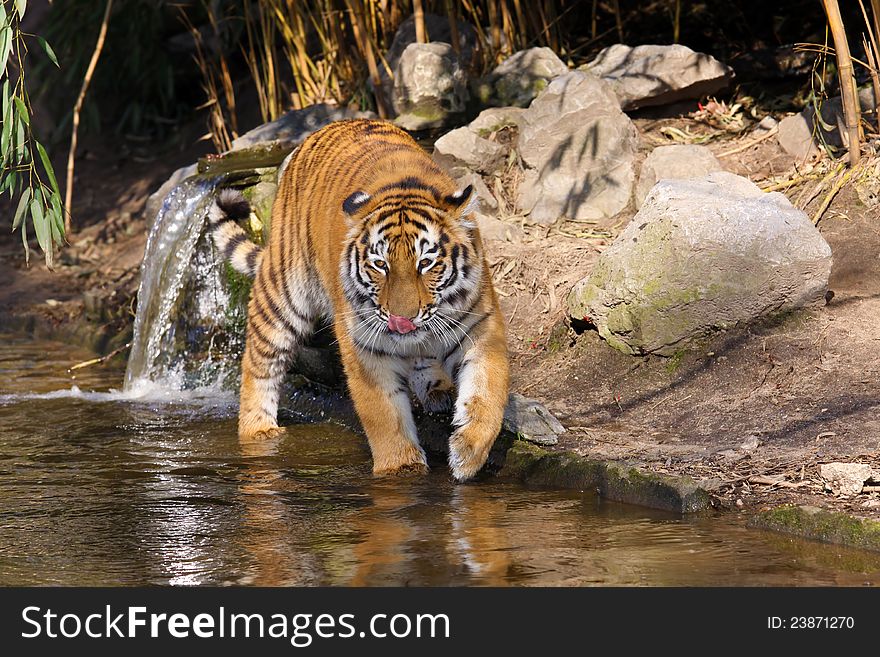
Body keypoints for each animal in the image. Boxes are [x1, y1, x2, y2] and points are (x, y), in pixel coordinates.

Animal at [207, 118, 508, 480]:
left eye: (426, 263)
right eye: (380, 265)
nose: (402, 318)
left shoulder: (481, 326)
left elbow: (487, 392)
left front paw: (468, 453)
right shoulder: (364, 345)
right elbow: (384, 414)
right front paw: (401, 468)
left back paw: (437, 389)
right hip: (284, 293)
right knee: (258, 360)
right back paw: (258, 430)